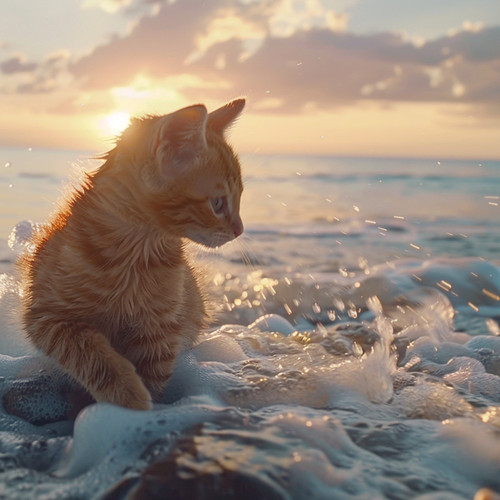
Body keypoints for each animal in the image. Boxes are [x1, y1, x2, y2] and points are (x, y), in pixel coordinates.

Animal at [19, 98, 246, 410]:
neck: (135, 255)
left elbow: (155, 374)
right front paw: (128, 395)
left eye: (240, 197)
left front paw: (147, 407)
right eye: (218, 203)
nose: (240, 229)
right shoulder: (48, 315)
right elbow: (91, 354)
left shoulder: (160, 329)